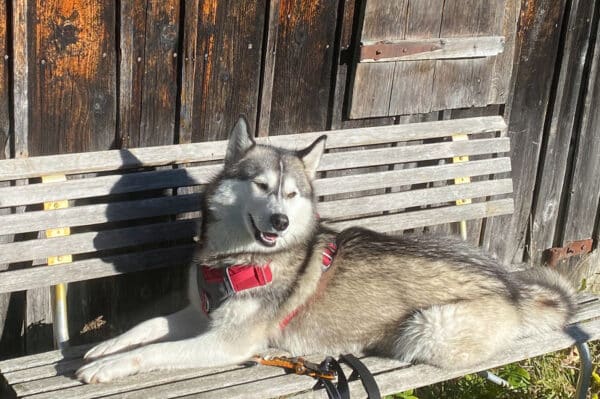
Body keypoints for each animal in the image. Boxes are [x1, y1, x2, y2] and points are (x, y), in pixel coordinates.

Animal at [77, 117, 576, 382]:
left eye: (292, 193)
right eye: (261, 186)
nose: (279, 221)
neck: (238, 260)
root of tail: (512, 286)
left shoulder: (228, 341)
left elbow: (155, 351)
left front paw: (111, 365)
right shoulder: (201, 314)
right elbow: (148, 325)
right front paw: (106, 347)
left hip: (428, 327)